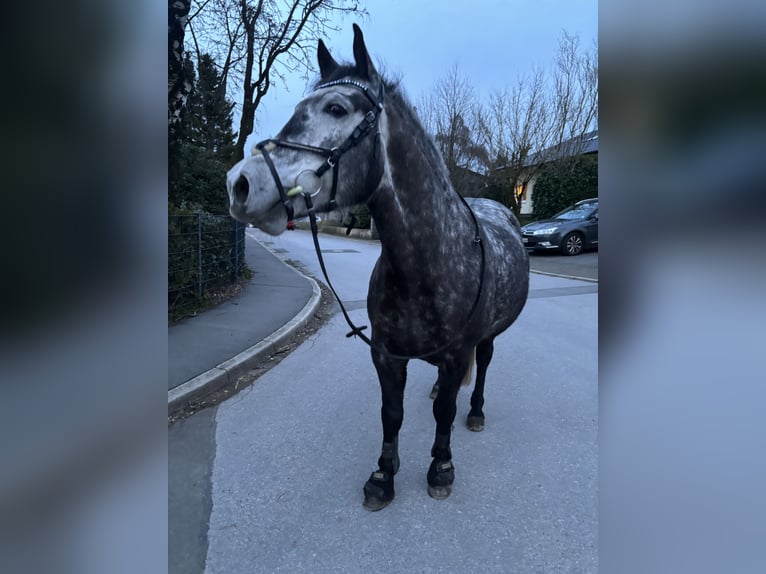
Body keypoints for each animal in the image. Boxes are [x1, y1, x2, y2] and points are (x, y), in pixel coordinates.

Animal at [226, 24, 529, 511]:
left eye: (336, 108)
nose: (239, 184)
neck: (428, 265)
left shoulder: (457, 352)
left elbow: (444, 411)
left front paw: (441, 468)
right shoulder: (385, 354)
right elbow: (392, 413)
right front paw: (383, 476)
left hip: (487, 338)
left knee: (483, 364)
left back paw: (477, 410)